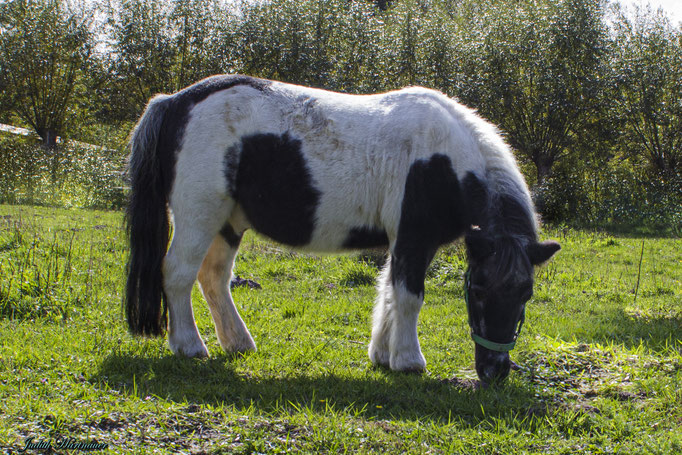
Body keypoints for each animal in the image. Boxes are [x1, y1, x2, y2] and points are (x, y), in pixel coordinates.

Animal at [125, 75, 560, 385]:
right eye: (479, 289)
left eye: (526, 293)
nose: (495, 371)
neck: (444, 162)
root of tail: (174, 102)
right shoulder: (413, 239)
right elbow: (408, 297)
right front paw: (408, 361)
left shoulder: (403, 242)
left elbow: (388, 292)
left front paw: (382, 354)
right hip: (199, 215)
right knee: (178, 274)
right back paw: (189, 346)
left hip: (227, 223)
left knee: (213, 277)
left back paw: (238, 344)